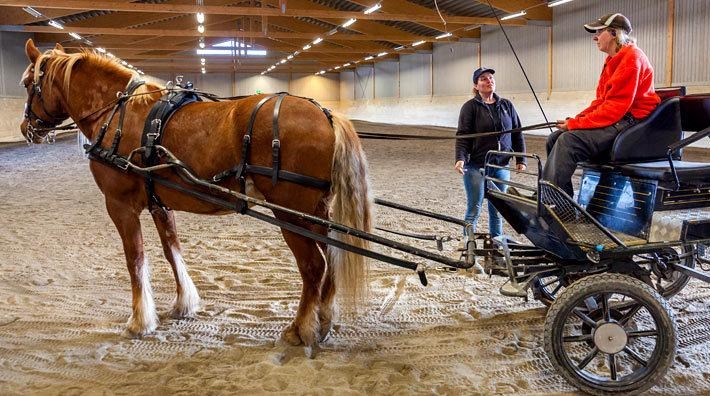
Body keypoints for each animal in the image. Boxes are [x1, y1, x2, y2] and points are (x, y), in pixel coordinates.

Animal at [18, 39, 372, 356]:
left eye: (26, 84)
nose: (26, 128)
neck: (118, 115)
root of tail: (326, 114)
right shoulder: (159, 203)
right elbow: (171, 249)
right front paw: (183, 303)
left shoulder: (120, 205)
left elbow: (135, 259)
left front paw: (139, 321)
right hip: (315, 211)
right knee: (332, 257)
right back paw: (323, 321)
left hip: (290, 212)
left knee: (313, 265)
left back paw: (300, 329)